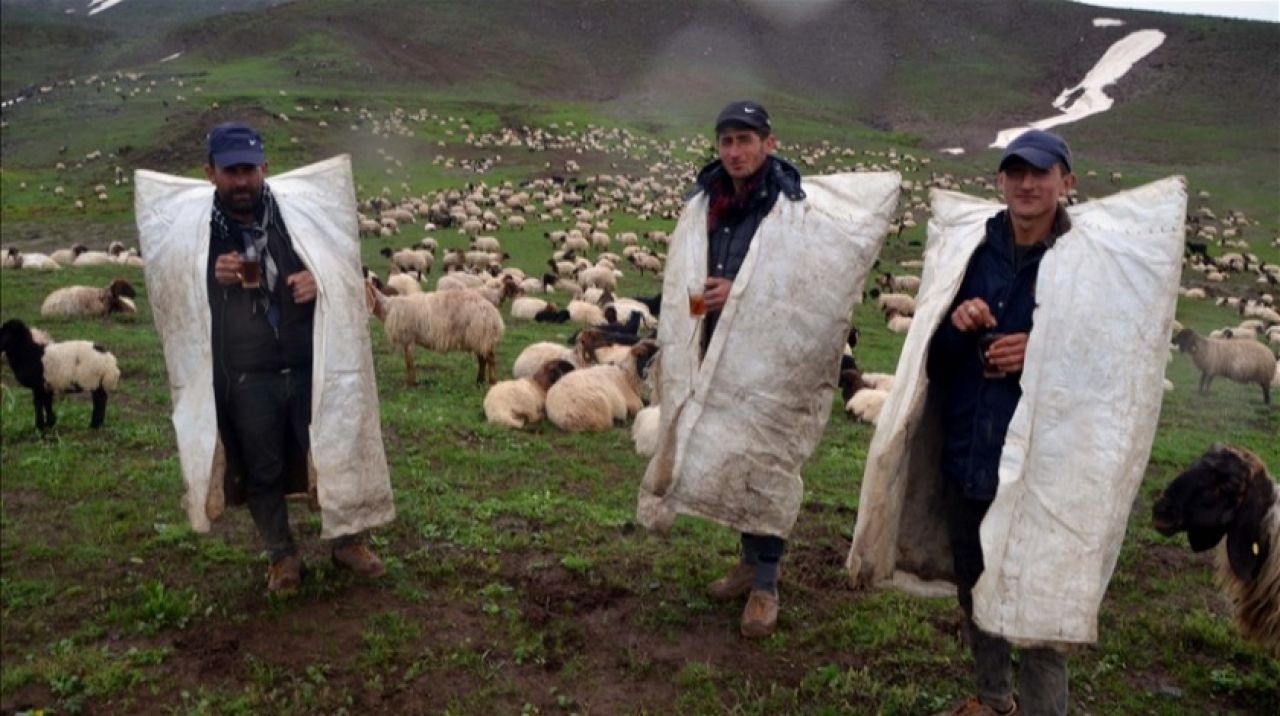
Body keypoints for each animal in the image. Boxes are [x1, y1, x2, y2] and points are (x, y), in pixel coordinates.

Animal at [363, 283, 501, 389]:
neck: (388, 308)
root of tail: (494, 315)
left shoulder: (408, 338)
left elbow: (409, 362)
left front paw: (410, 384)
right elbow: (409, 362)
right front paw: (412, 382)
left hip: (481, 335)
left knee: (491, 360)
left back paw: (492, 382)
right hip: (478, 338)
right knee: (482, 360)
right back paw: (479, 381)